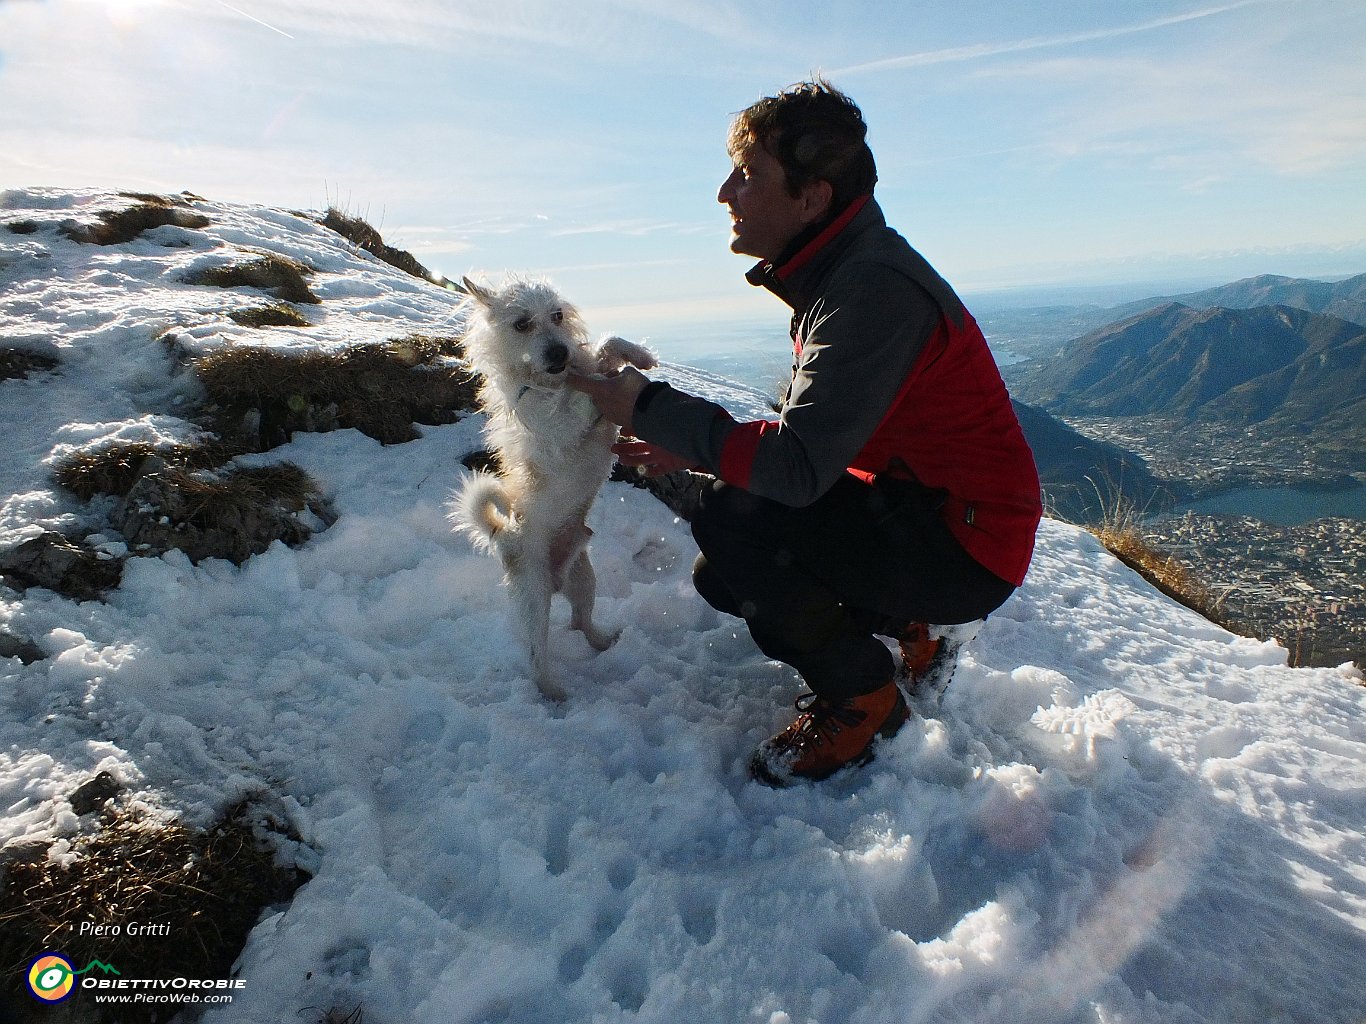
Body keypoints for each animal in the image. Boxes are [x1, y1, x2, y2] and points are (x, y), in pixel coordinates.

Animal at [448, 277, 655, 704]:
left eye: (558, 315)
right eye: (521, 324)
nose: (560, 351)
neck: (551, 383)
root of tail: (502, 535)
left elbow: (605, 350)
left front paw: (636, 355)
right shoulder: (563, 429)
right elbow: (585, 401)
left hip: (584, 579)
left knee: (581, 622)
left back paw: (604, 642)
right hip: (533, 599)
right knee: (535, 655)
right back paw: (553, 693)